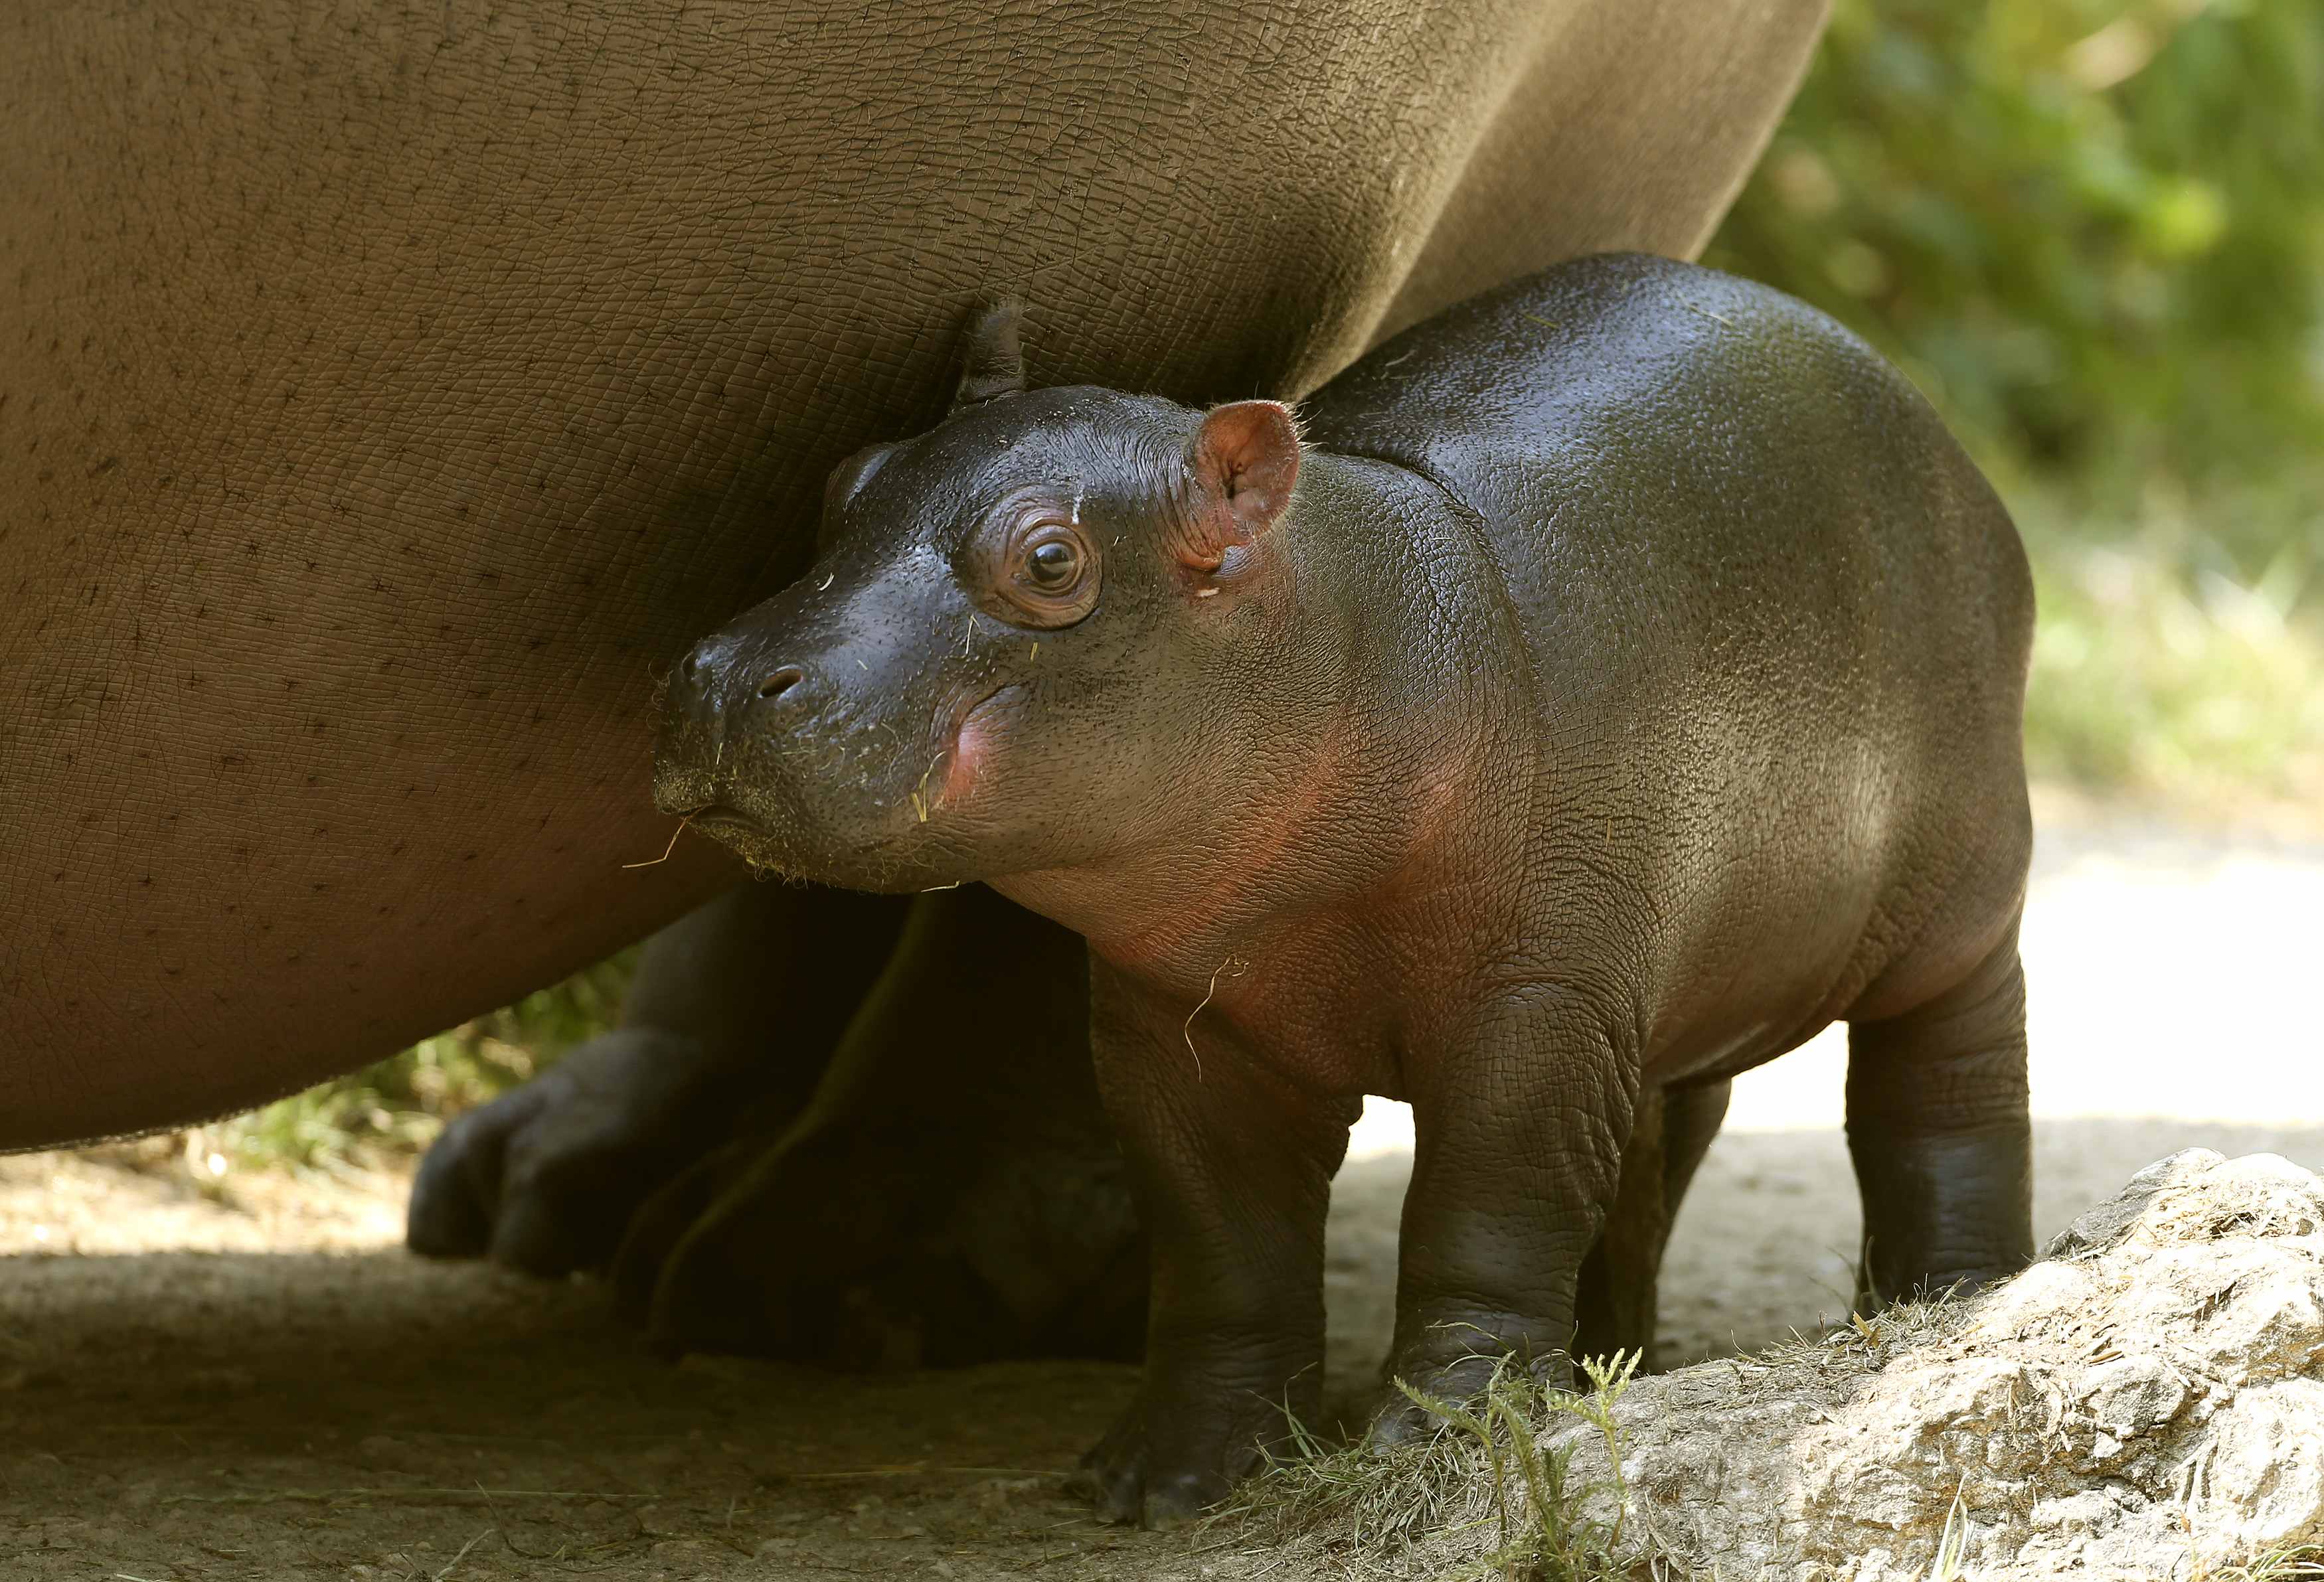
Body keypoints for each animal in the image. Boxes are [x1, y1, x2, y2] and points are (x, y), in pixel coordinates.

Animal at [651, 253, 2036, 1524]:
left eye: (1049, 559)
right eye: (847, 478)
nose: (718, 678)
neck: (1365, 620)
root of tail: (1948, 449)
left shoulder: (1534, 1001)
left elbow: (1489, 1206)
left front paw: (1447, 1436)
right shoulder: (1181, 1025)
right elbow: (1223, 1243)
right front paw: (1163, 1480)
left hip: (1958, 911)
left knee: (1945, 1094)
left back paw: (1948, 1297)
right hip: (1674, 979)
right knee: (1662, 1150)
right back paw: (1612, 1362)